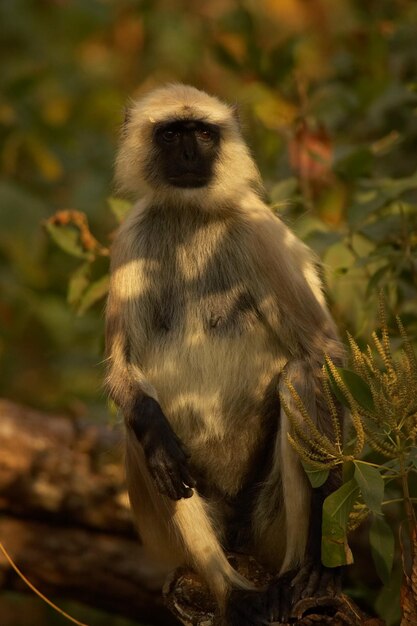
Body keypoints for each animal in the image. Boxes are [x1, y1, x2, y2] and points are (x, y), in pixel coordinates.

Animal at [106, 84, 344, 624]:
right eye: (172, 134)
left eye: (202, 133)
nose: (189, 155)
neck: (191, 215)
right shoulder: (131, 238)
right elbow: (123, 375)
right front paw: (155, 433)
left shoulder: (258, 232)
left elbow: (322, 352)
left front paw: (326, 552)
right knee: (141, 434)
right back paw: (234, 593)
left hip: (265, 528)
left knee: (298, 380)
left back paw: (294, 580)